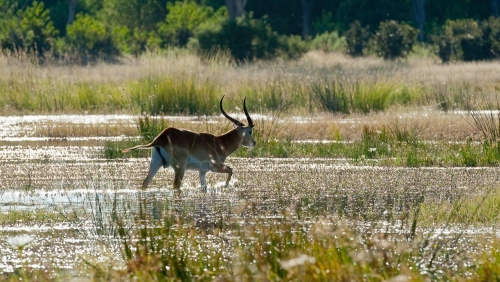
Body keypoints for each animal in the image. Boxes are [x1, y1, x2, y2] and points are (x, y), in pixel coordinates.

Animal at [120, 96, 254, 192]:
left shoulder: (202, 171)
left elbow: (204, 187)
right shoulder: (215, 166)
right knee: (175, 185)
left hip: (155, 164)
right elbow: (231, 170)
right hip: (180, 168)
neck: (221, 142)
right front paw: (225, 186)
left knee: (145, 182)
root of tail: (160, 138)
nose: (254, 143)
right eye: (250, 131)